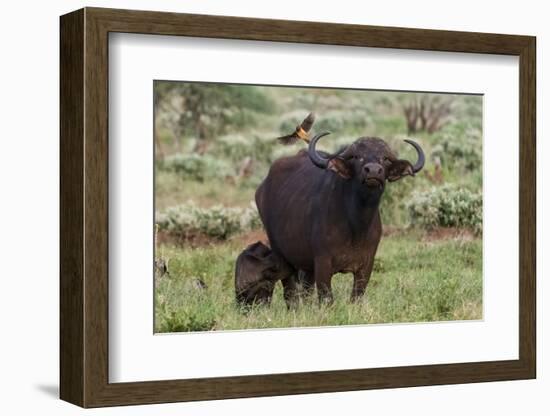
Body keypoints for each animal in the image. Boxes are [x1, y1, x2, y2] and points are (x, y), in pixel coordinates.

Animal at [256, 114, 426, 302]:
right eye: (357, 157)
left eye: (385, 158)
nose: (373, 171)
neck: (356, 225)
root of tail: (262, 189)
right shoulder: (322, 264)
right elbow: (326, 298)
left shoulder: (366, 266)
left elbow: (357, 296)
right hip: (281, 254)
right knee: (290, 292)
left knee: (306, 291)